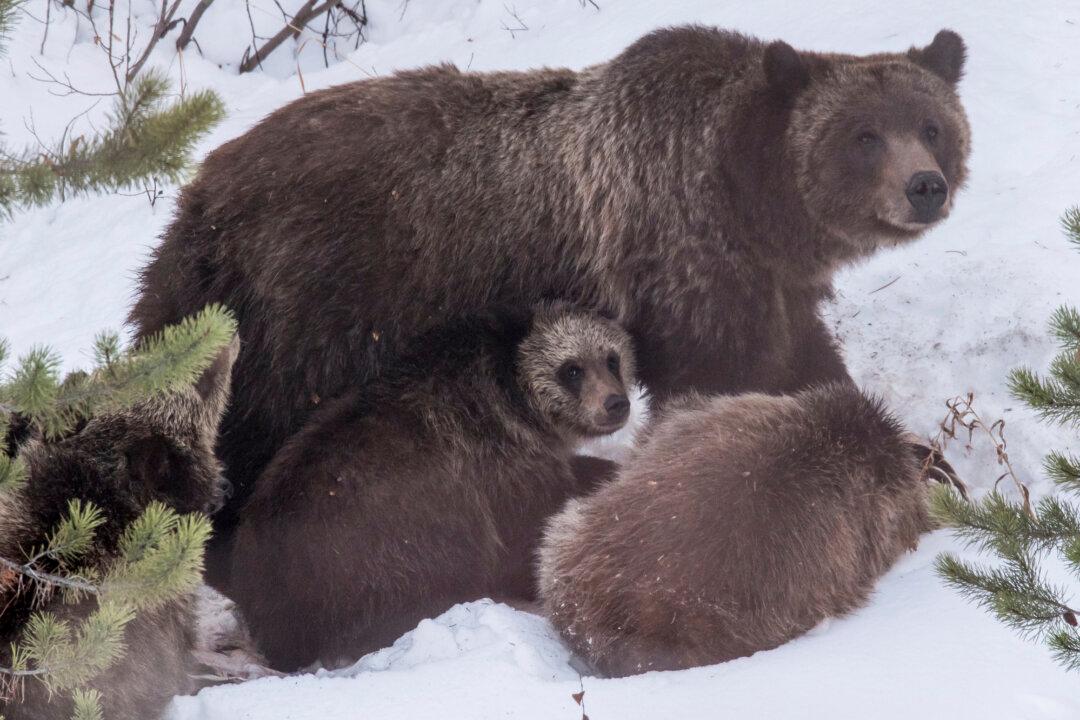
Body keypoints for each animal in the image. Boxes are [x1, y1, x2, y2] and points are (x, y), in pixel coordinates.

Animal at [128, 26, 970, 585]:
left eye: (932, 125)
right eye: (864, 135)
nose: (925, 186)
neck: (749, 199)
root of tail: (199, 196)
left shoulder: (766, 283)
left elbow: (803, 364)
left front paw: (926, 458)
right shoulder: (682, 258)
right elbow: (724, 382)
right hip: (317, 303)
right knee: (260, 424)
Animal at [227, 305, 636, 671]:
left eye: (611, 358)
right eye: (572, 369)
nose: (616, 403)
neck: (521, 404)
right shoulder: (498, 468)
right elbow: (530, 532)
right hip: (379, 541)